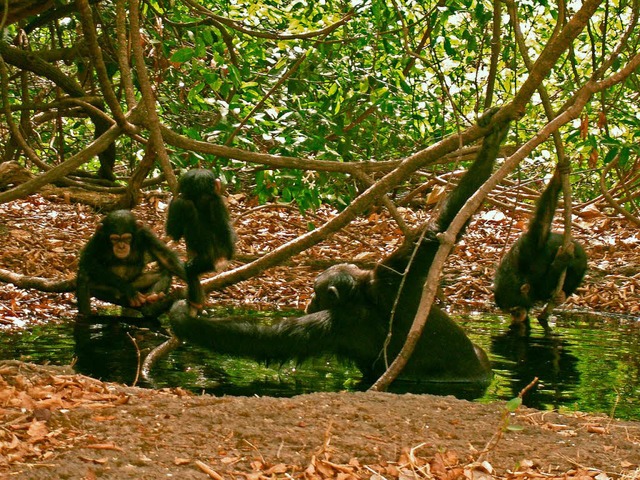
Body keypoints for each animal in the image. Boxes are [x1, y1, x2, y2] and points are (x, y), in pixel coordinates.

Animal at [165, 169, 238, 316]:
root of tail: (218, 261)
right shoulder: (218, 201)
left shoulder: (182, 204)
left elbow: (174, 232)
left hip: (205, 262)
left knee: (190, 271)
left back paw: (195, 302)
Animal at [492, 167, 588, 332]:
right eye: (509, 312)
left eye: (514, 309)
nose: (516, 316)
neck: (520, 276)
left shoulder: (530, 246)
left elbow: (543, 222)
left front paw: (557, 176)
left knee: (576, 267)